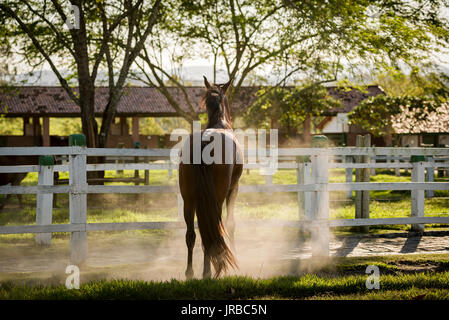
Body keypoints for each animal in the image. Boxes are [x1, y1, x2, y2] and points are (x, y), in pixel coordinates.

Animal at [178, 76, 243, 278]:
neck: (219, 123)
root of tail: (204, 141)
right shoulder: (234, 188)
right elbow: (231, 224)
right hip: (218, 196)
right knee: (213, 229)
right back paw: (208, 271)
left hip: (189, 199)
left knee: (192, 234)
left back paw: (190, 272)